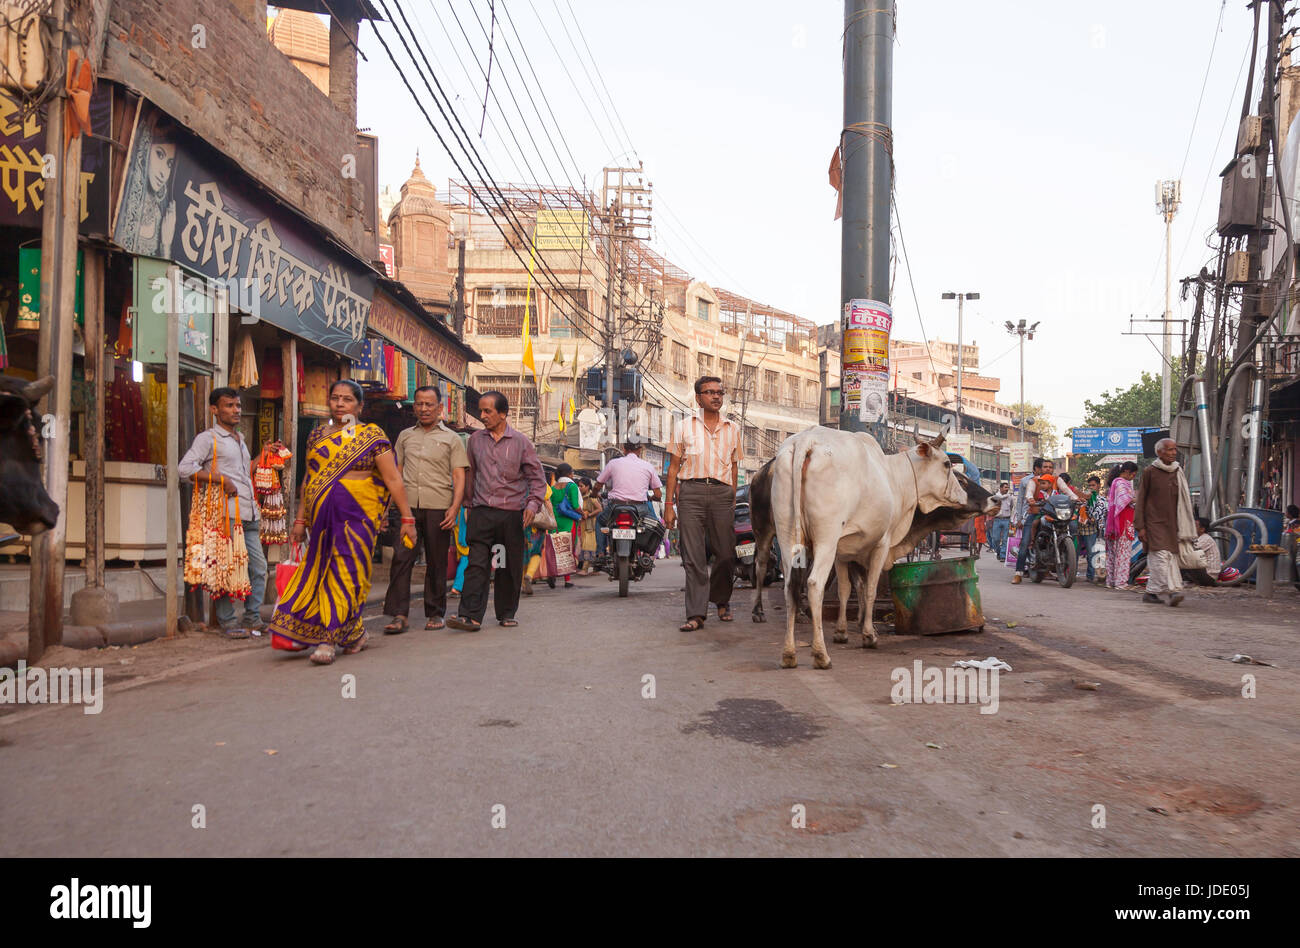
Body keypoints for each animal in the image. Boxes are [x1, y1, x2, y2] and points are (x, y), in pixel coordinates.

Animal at [769, 426, 967, 671]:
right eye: (947, 464)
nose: (963, 495)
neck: (894, 478)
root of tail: (807, 439)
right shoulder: (881, 544)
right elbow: (870, 590)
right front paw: (869, 635)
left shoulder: (842, 553)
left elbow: (846, 591)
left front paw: (842, 632)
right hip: (826, 537)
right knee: (814, 585)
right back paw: (821, 655)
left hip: (786, 535)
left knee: (790, 586)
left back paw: (789, 654)